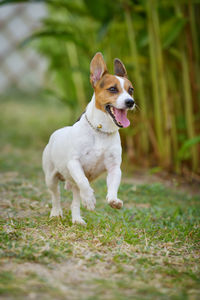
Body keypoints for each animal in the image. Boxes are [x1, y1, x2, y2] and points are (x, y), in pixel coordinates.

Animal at [42, 52, 134, 225]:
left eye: (131, 90)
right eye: (113, 89)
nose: (130, 102)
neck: (101, 132)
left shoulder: (114, 167)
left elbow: (113, 185)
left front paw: (113, 200)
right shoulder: (74, 163)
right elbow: (84, 182)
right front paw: (90, 199)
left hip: (73, 184)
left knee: (75, 200)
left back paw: (77, 219)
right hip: (50, 178)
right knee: (56, 195)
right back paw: (56, 212)